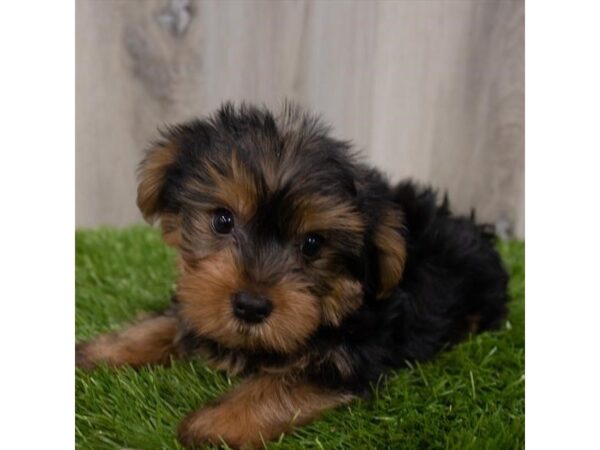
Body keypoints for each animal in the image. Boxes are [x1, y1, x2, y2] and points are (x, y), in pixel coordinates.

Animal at [75, 103, 506, 450]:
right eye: (222, 220)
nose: (250, 306)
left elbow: (280, 384)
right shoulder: (199, 298)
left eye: (312, 244)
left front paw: (211, 425)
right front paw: (101, 351)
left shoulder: (350, 357)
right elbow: (173, 321)